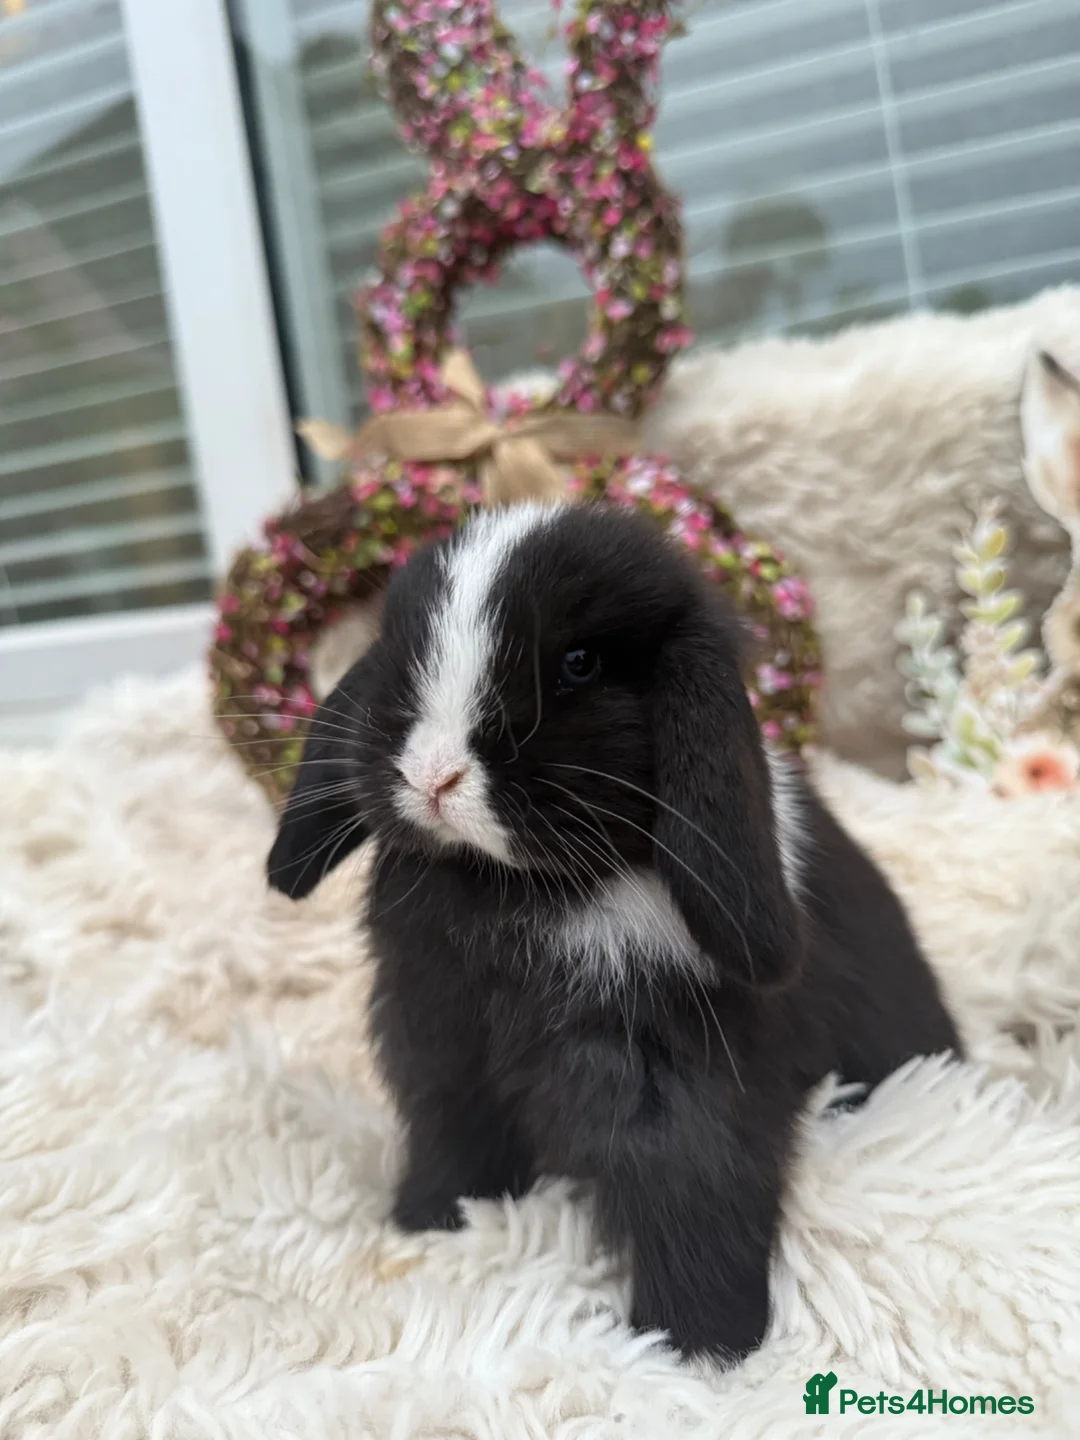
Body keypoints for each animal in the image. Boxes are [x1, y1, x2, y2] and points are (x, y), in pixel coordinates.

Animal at [267, 501, 962, 1363]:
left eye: (580, 663)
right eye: (401, 646)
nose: (433, 776)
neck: (522, 890)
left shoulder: (674, 1080)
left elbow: (698, 1197)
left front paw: (696, 1348)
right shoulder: (444, 1050)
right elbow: (453, 1144)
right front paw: (428, 1223)